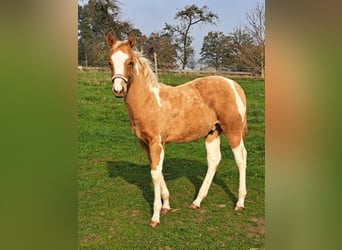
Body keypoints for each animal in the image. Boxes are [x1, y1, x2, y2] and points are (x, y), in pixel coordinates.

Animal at [105, 32, 247, 227]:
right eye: (109, 62)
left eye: (130, 62)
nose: (118, 89)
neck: (148, 101)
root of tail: (234, 85)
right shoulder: (145, 143)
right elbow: (157, 170)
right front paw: (166, 205)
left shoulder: (156, 142)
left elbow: (154, 174)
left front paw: (155, 216)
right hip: (212, 132)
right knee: (214, 160)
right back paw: (197, 201)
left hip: (233, 131)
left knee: (241, 159)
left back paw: (239, 202)